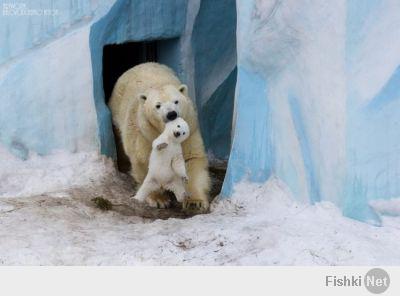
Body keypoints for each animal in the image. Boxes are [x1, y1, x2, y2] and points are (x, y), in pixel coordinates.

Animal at [108, 62, 211, 210]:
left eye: (176, 101)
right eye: (158, 105)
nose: (171, 114)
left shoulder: (190, 130)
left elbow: (191, 158)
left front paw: (195, 202)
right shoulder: (145, 134)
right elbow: (145, 161)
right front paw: (159, 199)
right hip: (117, 113)